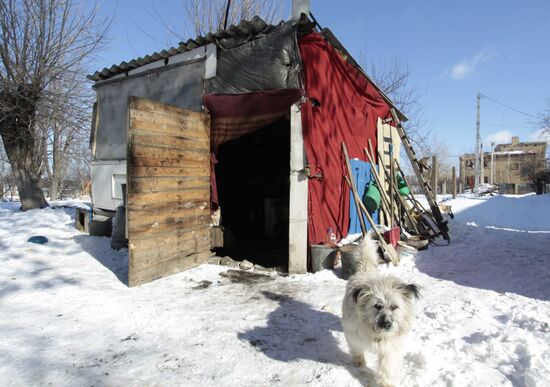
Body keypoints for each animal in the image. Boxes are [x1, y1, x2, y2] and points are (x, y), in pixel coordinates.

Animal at [342, 236, 420, 387]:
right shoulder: (353, 333)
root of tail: (365, 270)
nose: (387, 324)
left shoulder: (390, 349)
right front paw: (359, 361)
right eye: (377, 306)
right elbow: (356, 348)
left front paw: (385, 383)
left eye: (395, 307)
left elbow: (386, 367)